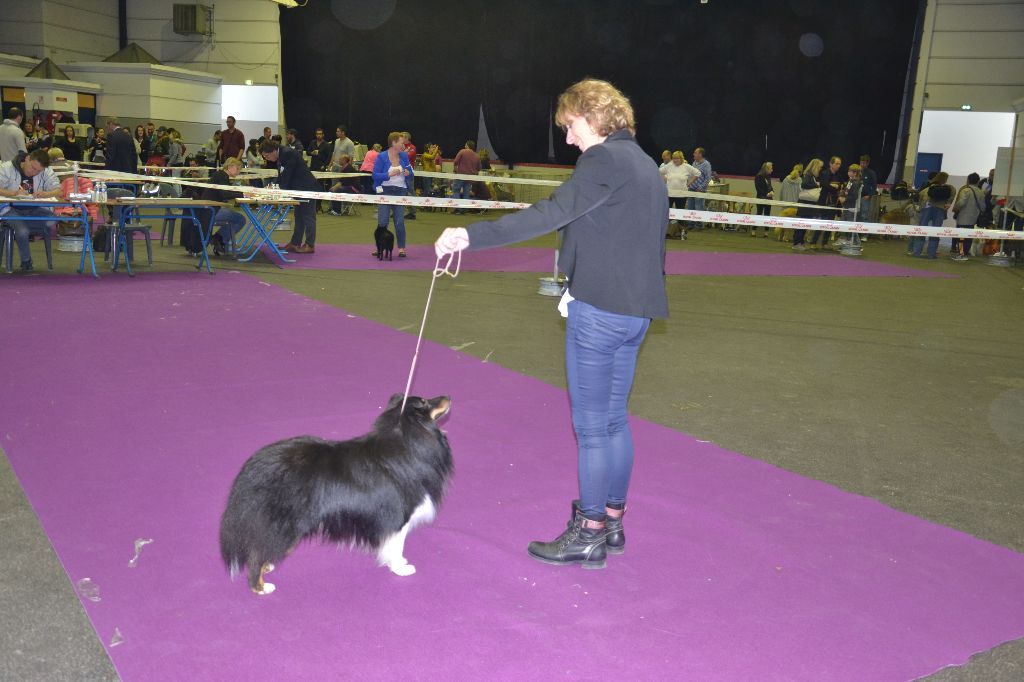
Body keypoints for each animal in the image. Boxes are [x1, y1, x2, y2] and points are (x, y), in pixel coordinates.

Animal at [220, 391, 452, 593]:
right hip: (285, 526)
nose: (448, 396)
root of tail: (251, 470)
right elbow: (396, 546)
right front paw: (401, 568)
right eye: (424, 401)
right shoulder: (400, 516)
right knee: (257, 555)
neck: (408, 438)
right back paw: (261, 587)